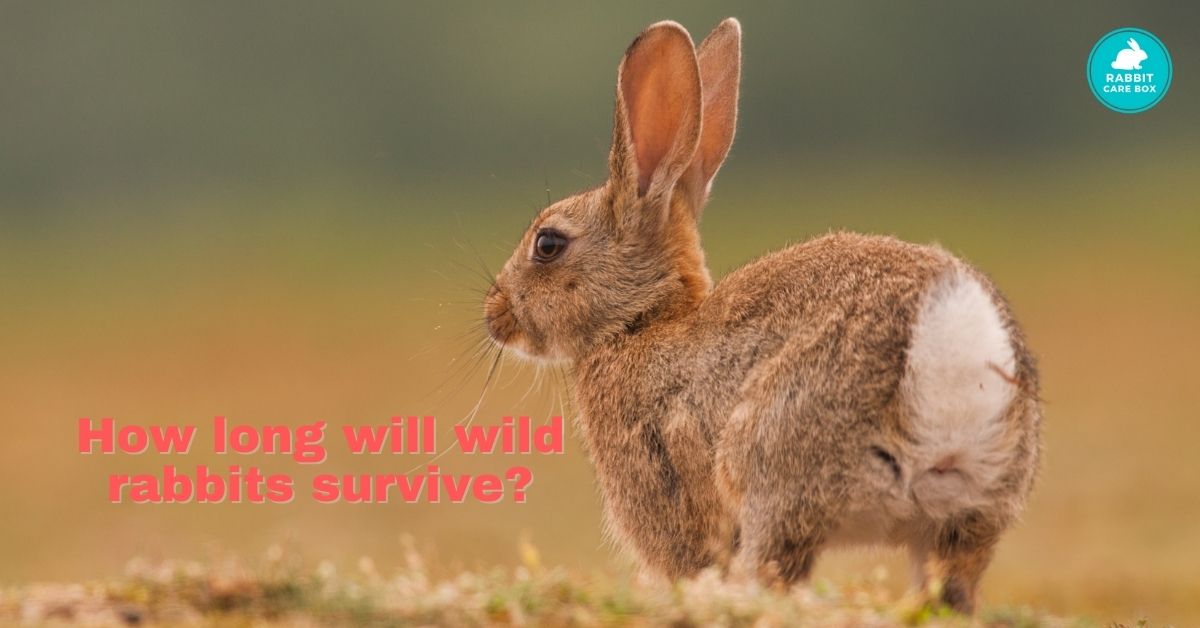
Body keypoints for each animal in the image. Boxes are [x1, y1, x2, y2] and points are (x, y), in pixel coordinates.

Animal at [483, 18, 1041, 615]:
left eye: (548, 244)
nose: (495, 314)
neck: (641, 321)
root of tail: (949, 333)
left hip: (776, 469)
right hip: (972, 509)